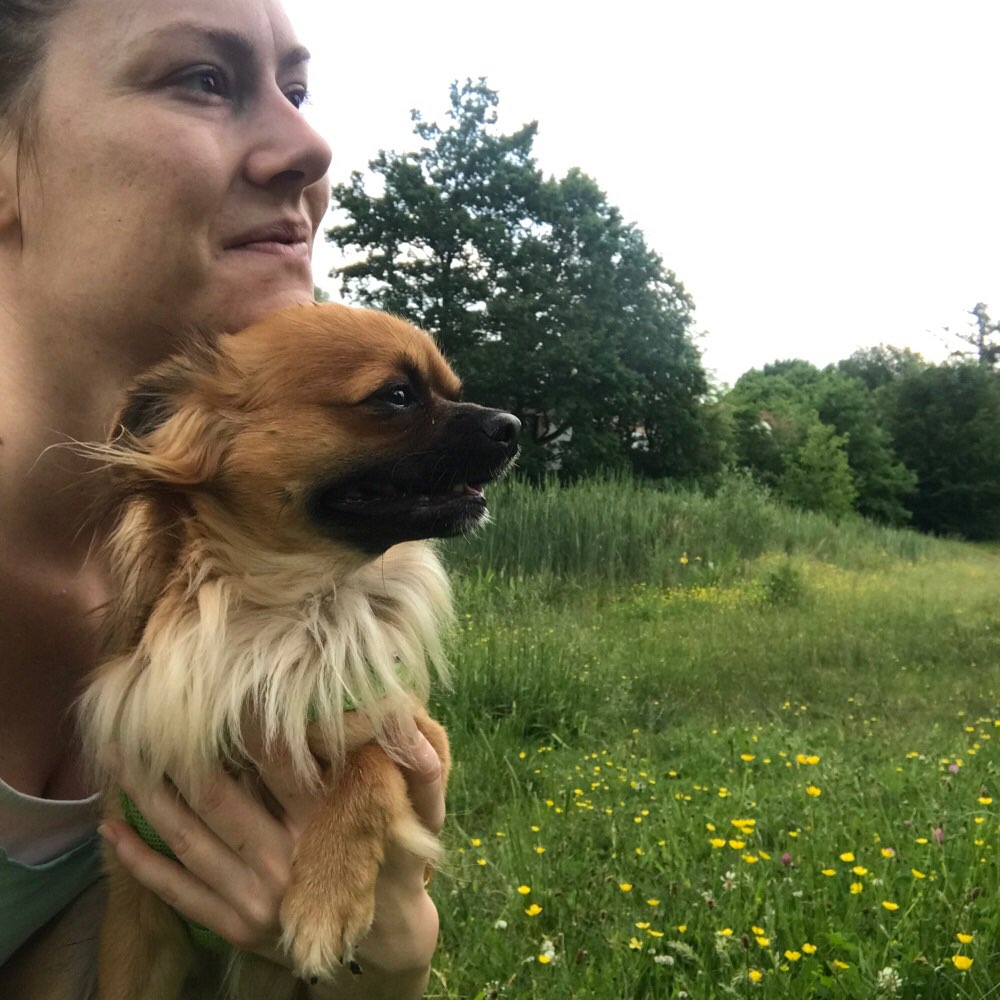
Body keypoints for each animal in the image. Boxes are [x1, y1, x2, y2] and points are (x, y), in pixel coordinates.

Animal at [77, 300, 516, 996]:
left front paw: (324, 899)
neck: (285, 613)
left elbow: (370, 759)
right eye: (396, 396)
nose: (514, 425)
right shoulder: (138, 913)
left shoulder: (422, 736)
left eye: (453, 390)